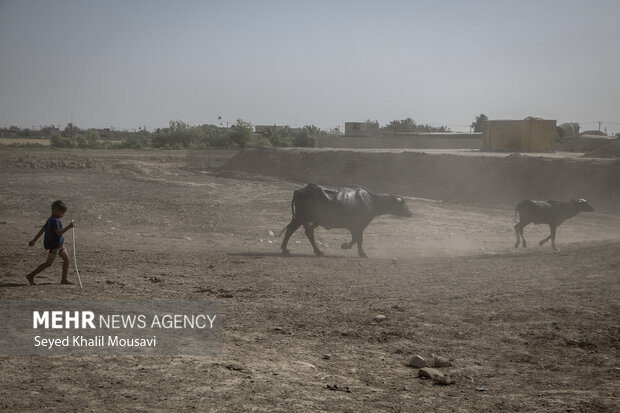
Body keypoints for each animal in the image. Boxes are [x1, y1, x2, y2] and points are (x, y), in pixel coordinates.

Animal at [280, 183, 412, 256]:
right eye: (403, 204)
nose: (410, 213)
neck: (371, 201)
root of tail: (300, 190)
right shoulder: (359, 225)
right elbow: (358, 239)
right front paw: (358, 251)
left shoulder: (355, 227)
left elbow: (356, 239)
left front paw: (349, 247)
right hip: (301, 217)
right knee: (294, 230)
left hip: (308, 219)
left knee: (304, 231)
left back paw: (315, 251)